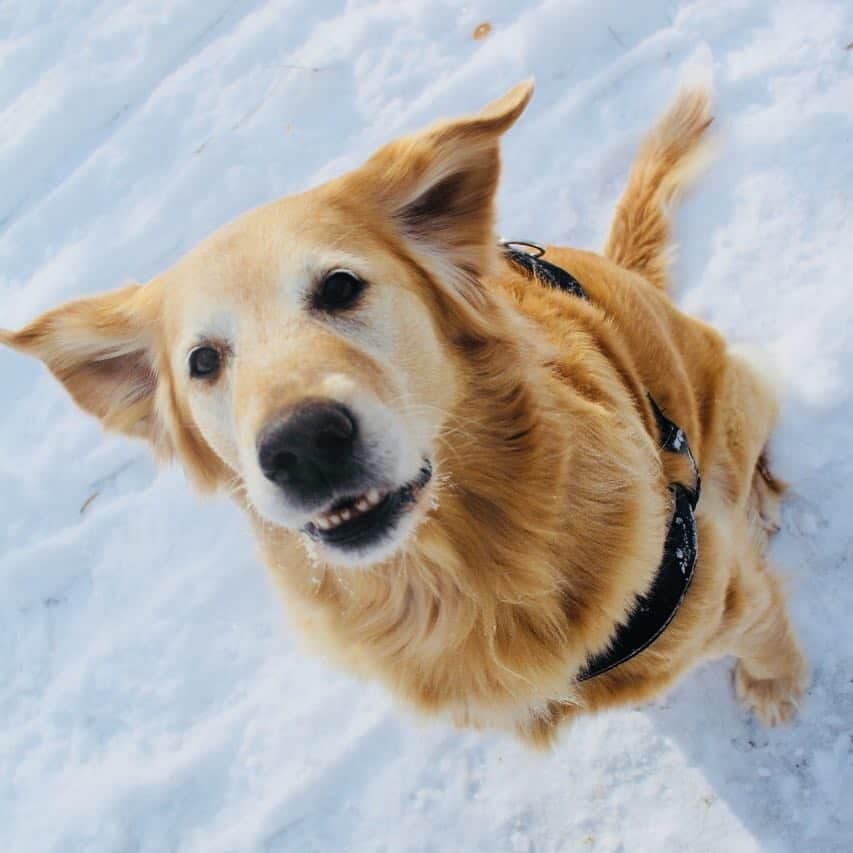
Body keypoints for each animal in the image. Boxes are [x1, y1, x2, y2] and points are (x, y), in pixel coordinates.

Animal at [3, 81, 808, 744]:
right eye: (203, 361)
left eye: (340, 286)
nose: (303, 444)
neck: (461, 571)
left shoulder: (726, 589)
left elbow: (763, 627)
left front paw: (775, 685)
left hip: (734, 390)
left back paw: (759, 498)